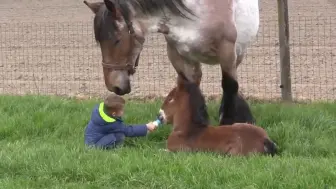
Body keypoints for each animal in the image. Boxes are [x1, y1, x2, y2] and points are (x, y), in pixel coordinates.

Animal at [83, 0, 258, 125]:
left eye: (117, 40)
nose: (113, 86)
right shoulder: (177, 55)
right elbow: (189, 86)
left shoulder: (227, 51)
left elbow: (229, 85)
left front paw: (228, 122)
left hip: (238, 53)